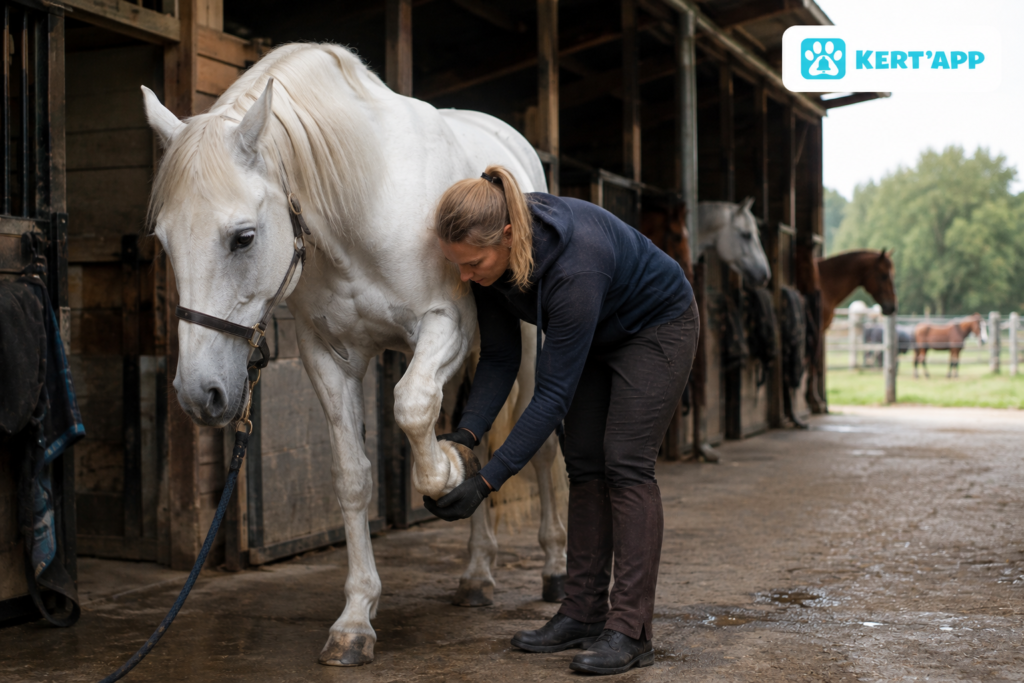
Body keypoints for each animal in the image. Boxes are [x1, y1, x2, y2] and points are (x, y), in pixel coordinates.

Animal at [141, 43, 567, 667]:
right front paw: (355, 620)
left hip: (528, 354)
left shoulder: (446, 326)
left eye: (243, 237)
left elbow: (412, 409)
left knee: (541, 446)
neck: (364, 204)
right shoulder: (329, 356)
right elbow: (352, 477)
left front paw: (445, 470)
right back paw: (477, 576)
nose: (199, 395)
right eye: (165, 243)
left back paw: (555, 566)